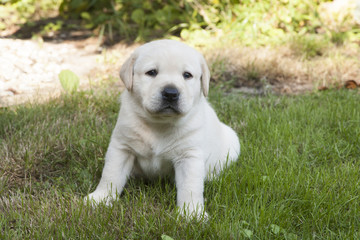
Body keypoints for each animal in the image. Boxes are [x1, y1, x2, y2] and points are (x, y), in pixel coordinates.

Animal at [86, 39, 240, 219]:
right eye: (152, 72)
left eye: (187, 75)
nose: (171, 93)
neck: (159, 124)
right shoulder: (122, 147)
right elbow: (111, 175)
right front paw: (100, 198)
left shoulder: (189, 155)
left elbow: (190, 187)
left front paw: (192, 213)